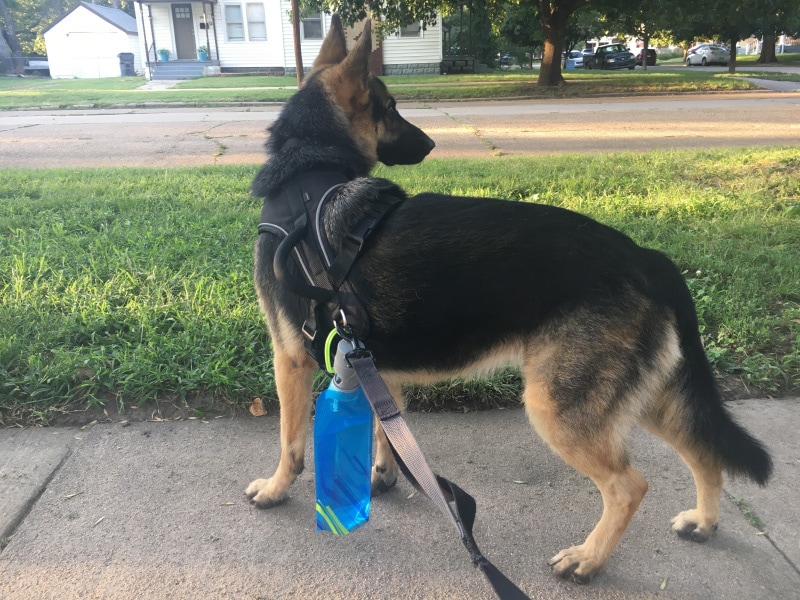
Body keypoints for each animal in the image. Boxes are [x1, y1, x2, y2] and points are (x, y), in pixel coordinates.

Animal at [247, 16, 772, 584]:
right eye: (389, 108)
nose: (430, 143)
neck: (308, 172)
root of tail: (642, 255)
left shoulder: (290, 359)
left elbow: (290, 443)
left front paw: (275, 488)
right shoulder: (368, 361)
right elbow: (388, 428)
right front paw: (384, 474)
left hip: (557, 406)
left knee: (630, 485)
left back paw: (587, 559)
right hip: (646, 395)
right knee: (704, 451)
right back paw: (704, 521)